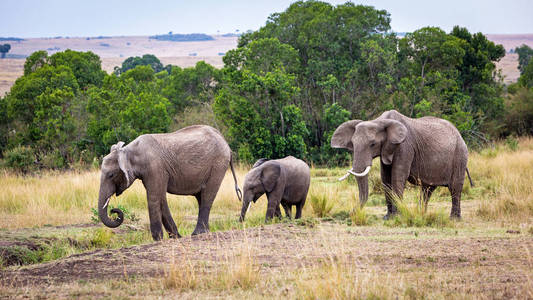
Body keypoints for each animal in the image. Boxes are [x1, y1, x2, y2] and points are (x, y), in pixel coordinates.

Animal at [97, 125, 241, 241]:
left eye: (111, 175)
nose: (114, 211)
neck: (129, 150)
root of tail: (225, 142)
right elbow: (161, 198)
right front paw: (176, 237)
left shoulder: (154, 168)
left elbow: (153, 197)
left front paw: (158, 239)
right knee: (201, 197)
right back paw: (204, 232)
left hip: (218, 164)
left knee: (207, 196)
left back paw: (197, 234)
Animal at [330, 109, 472, 219]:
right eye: (353, 144)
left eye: (373, 144)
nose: (351, 212)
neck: (379, 121)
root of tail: (460, 135)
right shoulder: (387, 149)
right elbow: (385, 179)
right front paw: (388, 217)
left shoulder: (404, 146)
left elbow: (397, 177)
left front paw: (397, 216)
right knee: (428, 189)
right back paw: (421, 214)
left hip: (460, 155)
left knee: (455, 187)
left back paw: (454, 219)